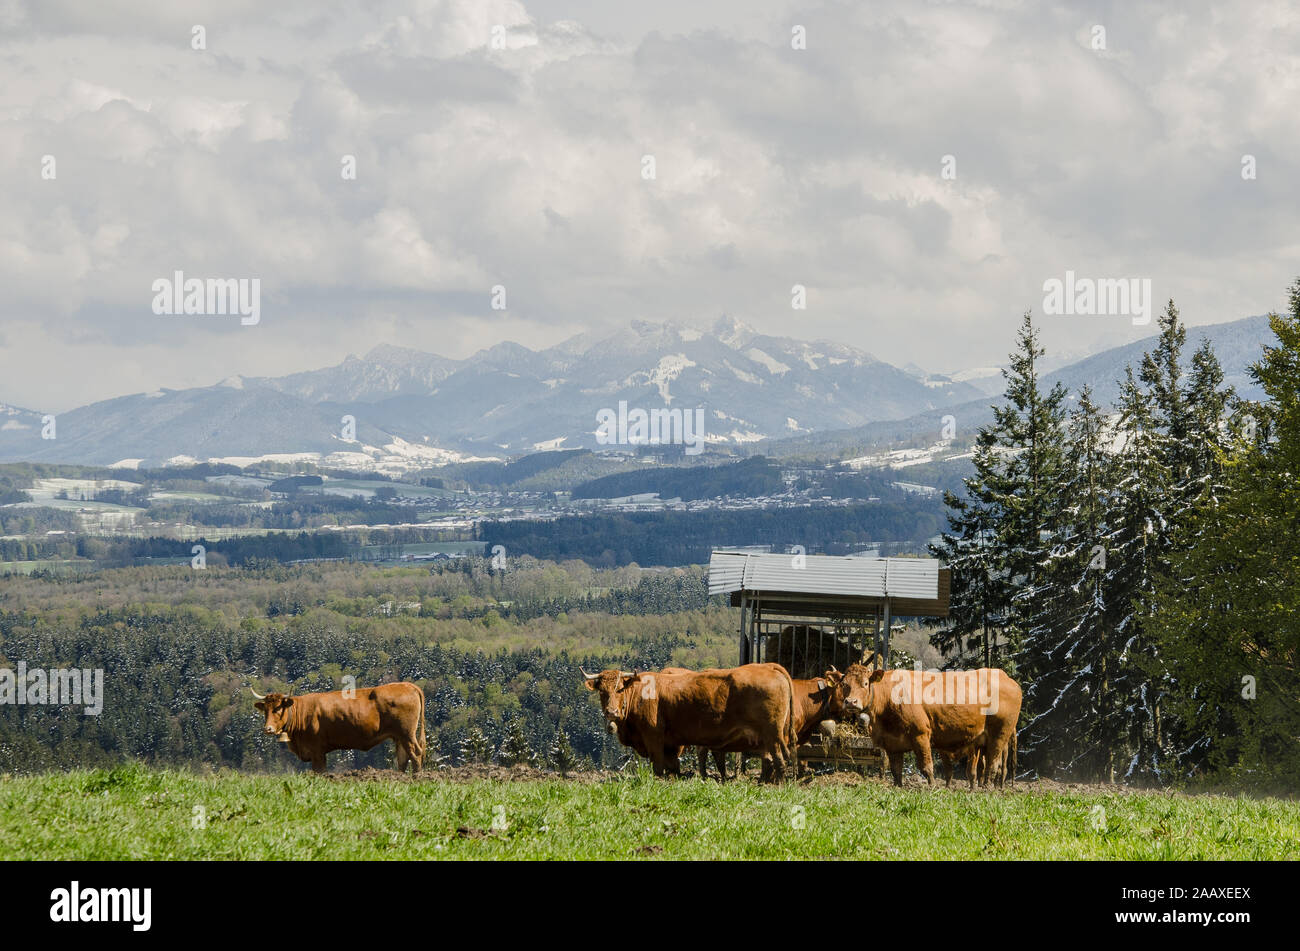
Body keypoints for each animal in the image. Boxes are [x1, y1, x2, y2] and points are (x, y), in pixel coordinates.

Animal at [245, 685, 423, 774]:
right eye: (265, 710)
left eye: (278, 708)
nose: (268, 729)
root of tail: (406, 684)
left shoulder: (316, 750)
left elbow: (320, 771)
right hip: (399, 736)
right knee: (403, 757)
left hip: (407, 734)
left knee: (415, 754)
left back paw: (417, 778)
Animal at [585, 665, 795, 784]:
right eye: (602, 691)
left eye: (619, 689)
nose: (612, 712)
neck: (639, 693)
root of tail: (770, 669)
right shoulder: (670, 744)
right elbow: (673, 766)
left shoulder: (654, 738)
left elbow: (658, 766)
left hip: (772, 735)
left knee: (778, 759)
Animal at [832, 659, 1024, 789]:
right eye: (844, 684)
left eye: (865, 683)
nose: (851, 702)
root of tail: (1006, 677)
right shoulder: (892, 743)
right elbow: (896, 770)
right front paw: (898, 787)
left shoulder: (920, 734)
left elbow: (926, 767)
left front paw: (932, 787)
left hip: (1000, 735)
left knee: (994, 764)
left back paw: (987, 788)